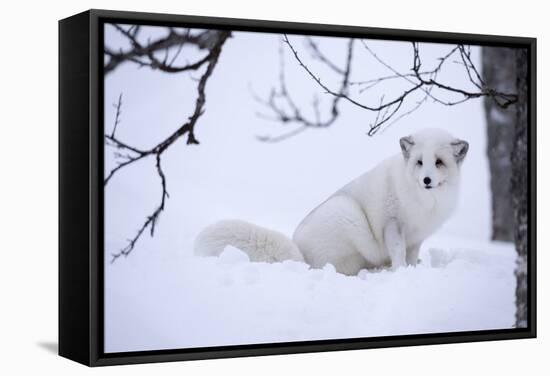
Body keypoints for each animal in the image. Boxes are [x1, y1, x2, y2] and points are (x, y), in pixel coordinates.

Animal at [194, 128, 470, 274]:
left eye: (438, 162)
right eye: (419, 162)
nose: (426, 179)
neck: (425, 201)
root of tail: (301, 258)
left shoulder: (417, 235)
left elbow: (411, 255)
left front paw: (412, 269)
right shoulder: (393, 224)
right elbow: (398, 252)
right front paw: (400, 271)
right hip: (347, 213)